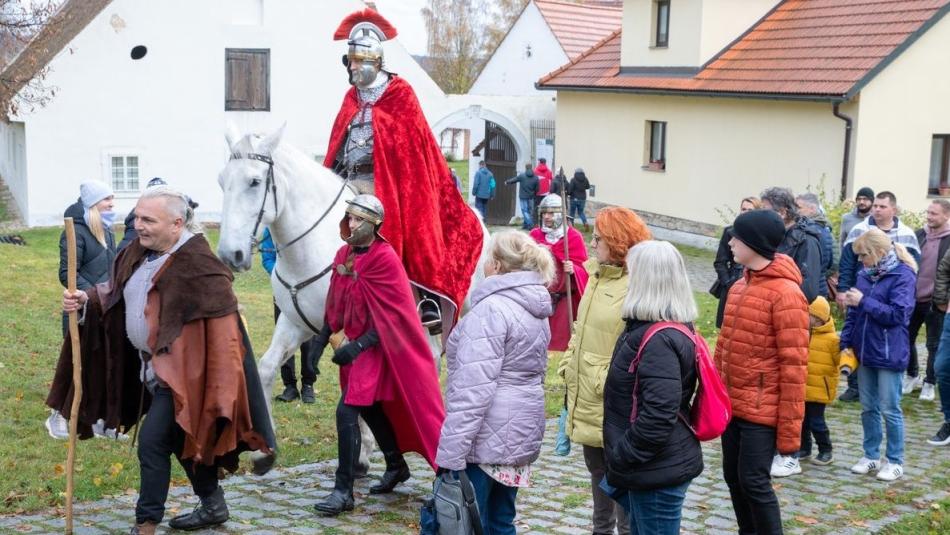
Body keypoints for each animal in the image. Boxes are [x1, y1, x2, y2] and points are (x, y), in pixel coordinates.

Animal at [218, 126, 490, 474]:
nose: (231, 254)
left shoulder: (351, 329)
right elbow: (267, 368)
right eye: (222, 181)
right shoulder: (295, 323)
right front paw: (264, 452)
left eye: (254, 181)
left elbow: (356, 383)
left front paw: (362, 451)